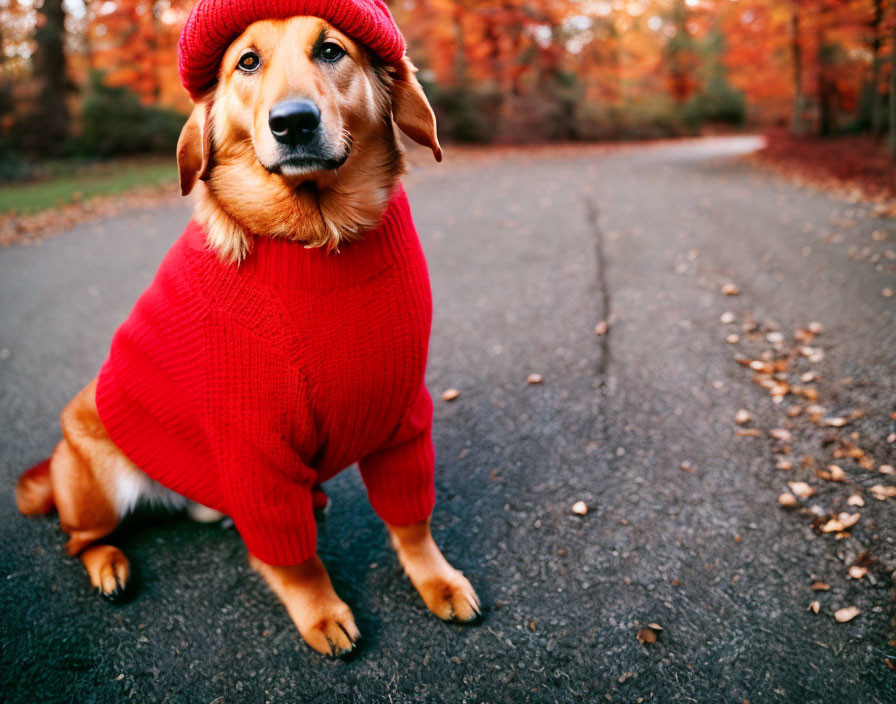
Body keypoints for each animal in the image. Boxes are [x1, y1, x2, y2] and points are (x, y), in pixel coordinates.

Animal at [15, 13, 484, 656]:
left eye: (331, 49)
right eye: (247, 62)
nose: (292, 122)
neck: (318, 239)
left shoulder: (402, 418)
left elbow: (412, 522)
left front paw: (436, 579)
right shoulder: (254, 452)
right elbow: (297, 560)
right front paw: (320, 612)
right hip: (99, 482)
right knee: (77, 540)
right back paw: (109, 564)